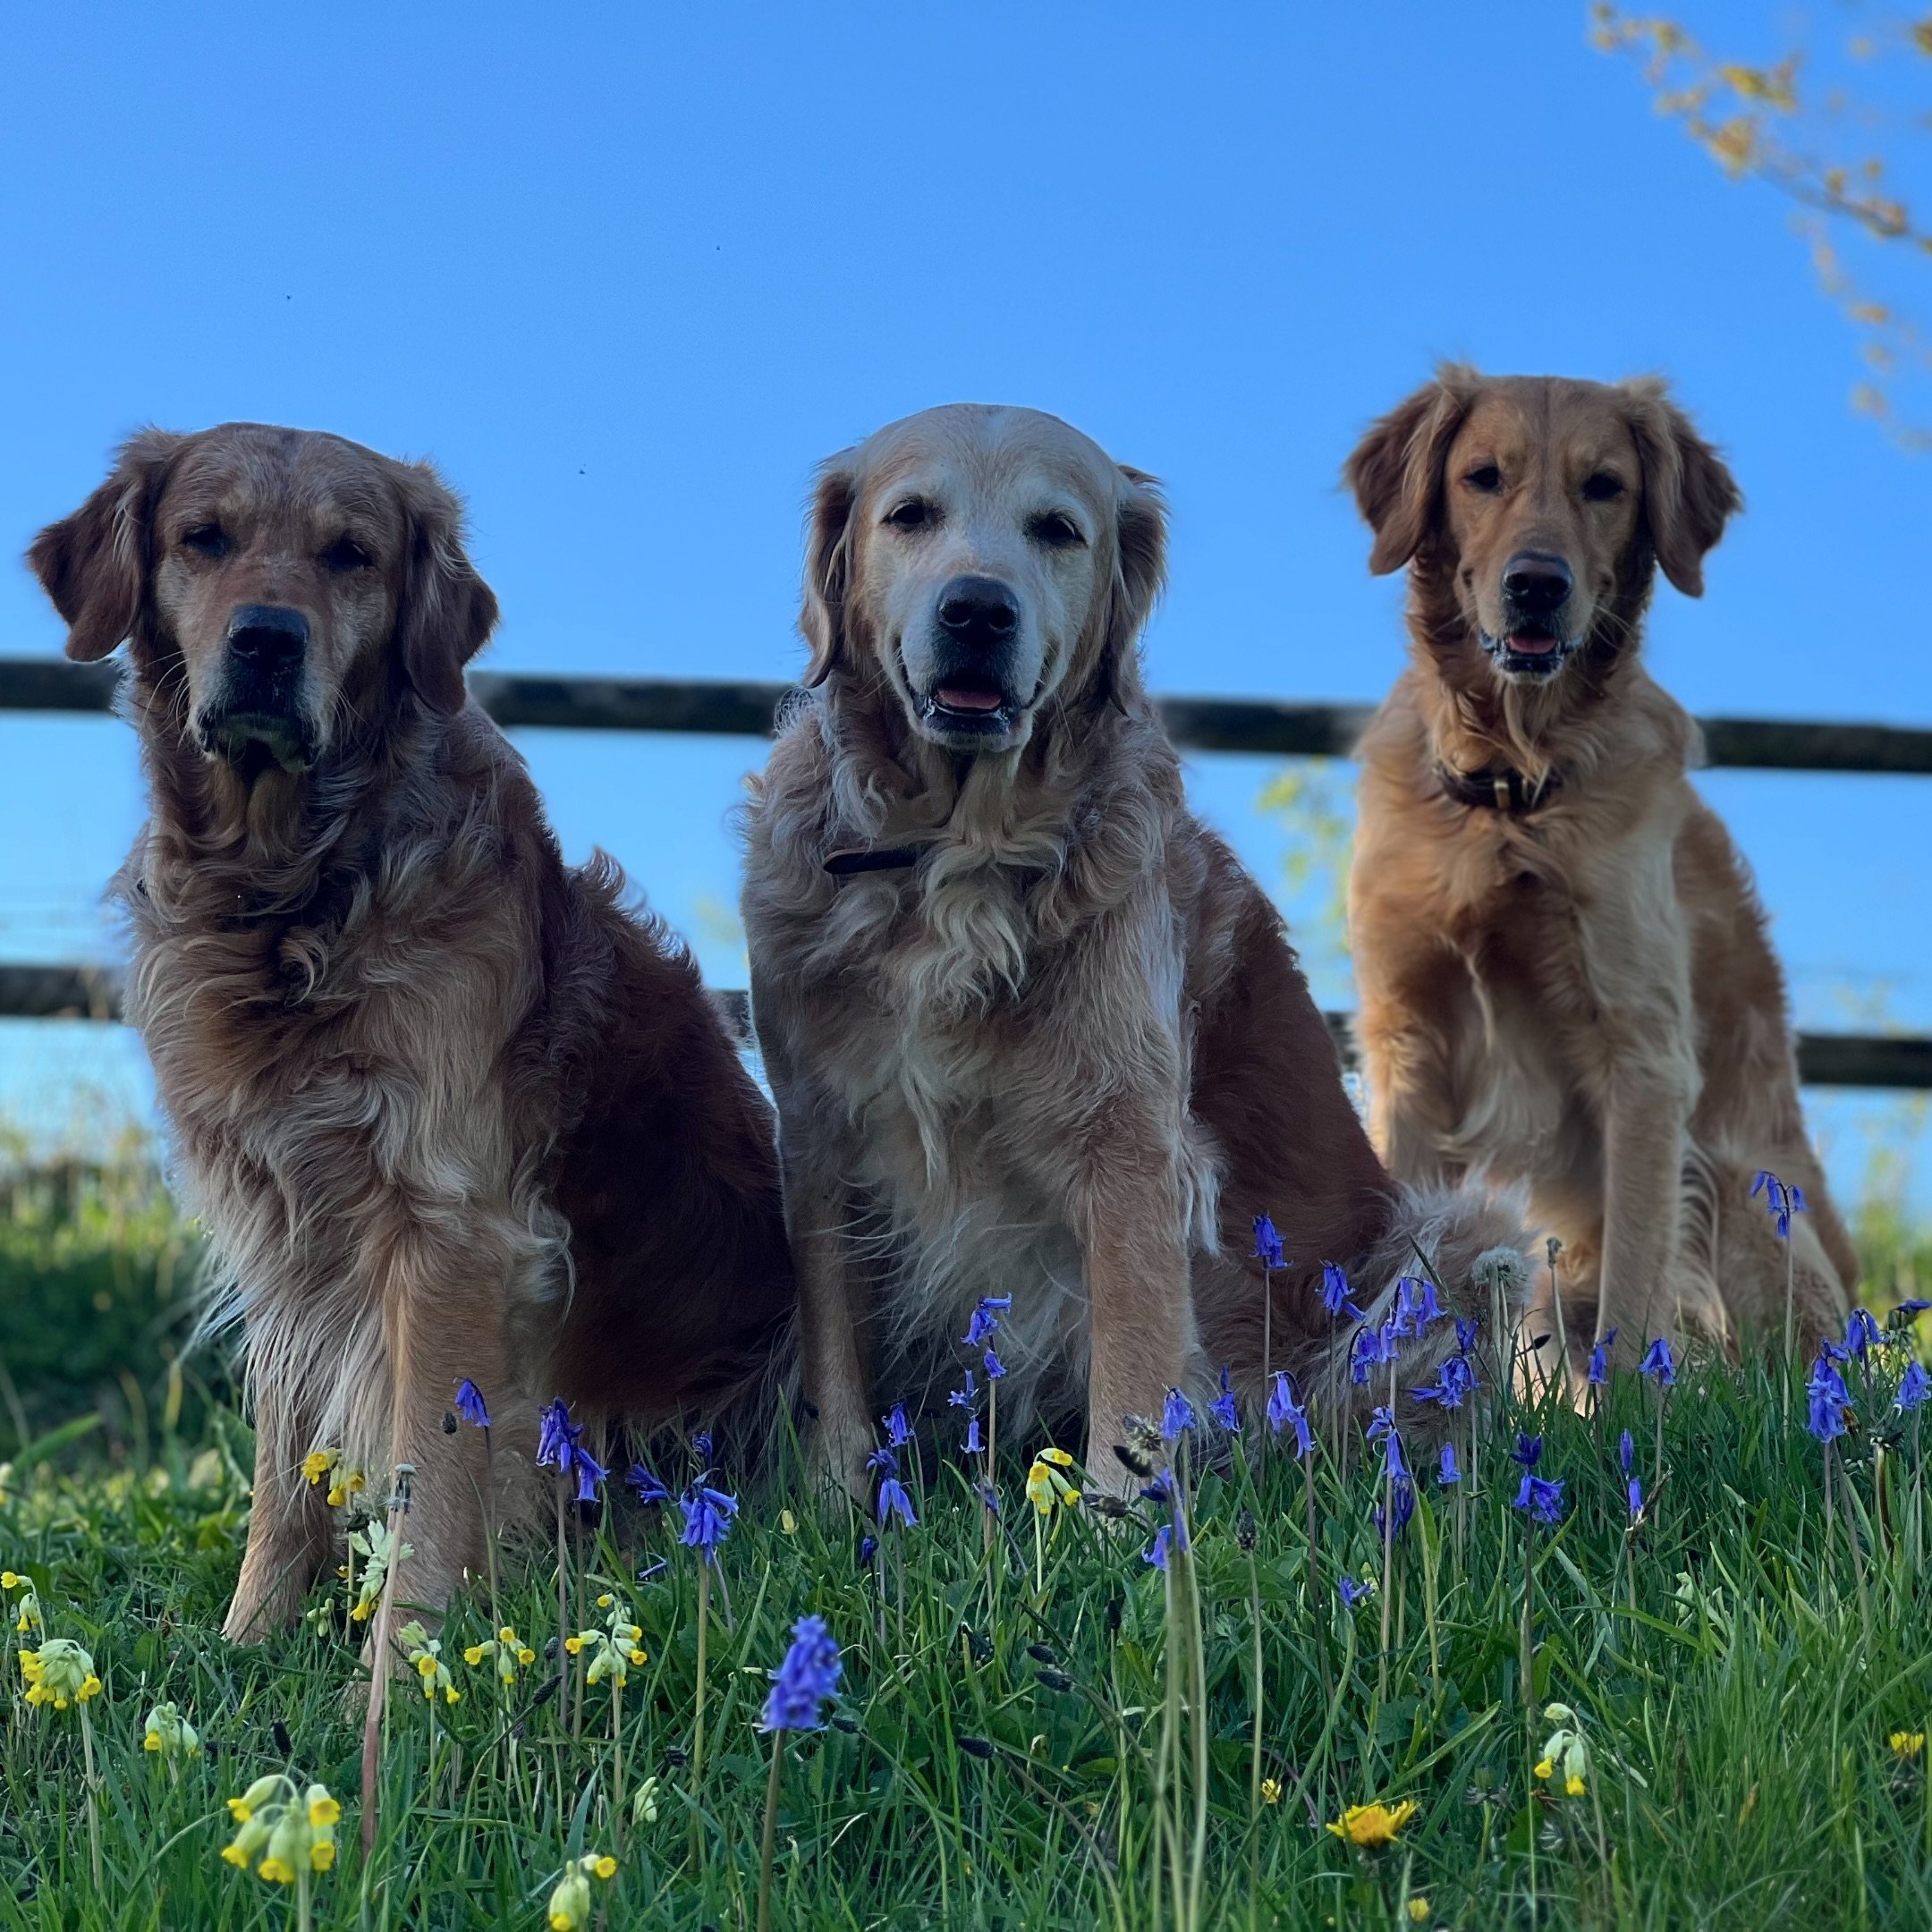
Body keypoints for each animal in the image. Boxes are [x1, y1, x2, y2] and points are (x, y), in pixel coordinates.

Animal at [24, 430, 792, 1638]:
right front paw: (249, 1644)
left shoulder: (454, 1228)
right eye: (204, 538)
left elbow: (431, 1485)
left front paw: (400, 1665)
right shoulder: (282, 1224)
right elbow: (283, 1473)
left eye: (352, 555)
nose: (267, 639)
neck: (289, 891)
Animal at [738, 407, 1522, 1491]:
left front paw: (1121, 1511)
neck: (955, 850)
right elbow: (834, 1359)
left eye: (1058, 530)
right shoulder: (819, 1131)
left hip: (1462, 1237)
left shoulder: (1129, 1141)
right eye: (910, 515)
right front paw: (836, 1501)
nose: (977, 610)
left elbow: (1135, 1358)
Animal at [1344, 369, 1854, 1375]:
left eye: (1605, 486)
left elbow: (1634, 1292)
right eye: (1483, 476)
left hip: (1744, 1193)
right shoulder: (1405, 1036)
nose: (1537, 586)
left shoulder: (1643, 1054)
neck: (1510, 794)